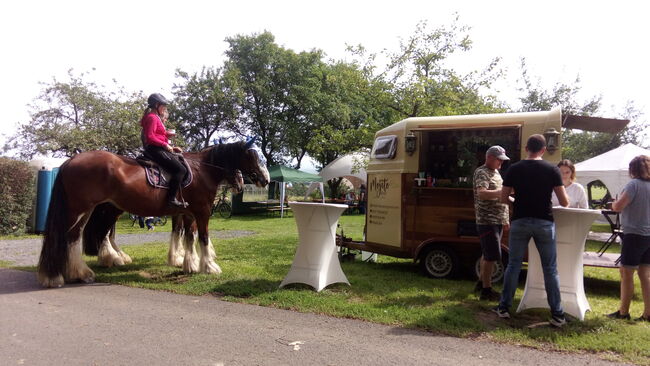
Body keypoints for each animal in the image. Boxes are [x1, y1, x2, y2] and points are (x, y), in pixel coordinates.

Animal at [36, 142, 270, 288]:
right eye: (252, 156)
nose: (265, 180)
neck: (202, 170)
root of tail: (70, 161)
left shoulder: (187, 213)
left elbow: (187, 237)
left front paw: (189, 263)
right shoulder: (201, 212)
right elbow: (202, 237)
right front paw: (209, 266)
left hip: (90, 210)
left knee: (79, 236)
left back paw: (82, 271)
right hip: (84, 209)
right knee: (79, 235)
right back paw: (65, 274)